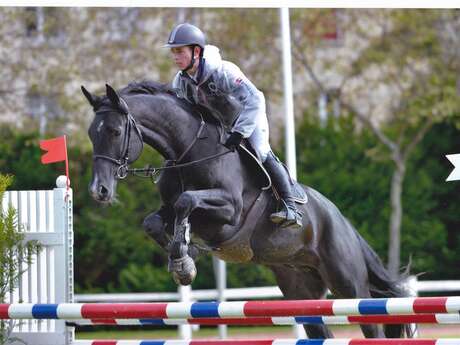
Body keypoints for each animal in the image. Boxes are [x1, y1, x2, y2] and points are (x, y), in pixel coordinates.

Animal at [82, 82, 410, 338]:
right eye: (91, 134)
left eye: (114, 131)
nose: (100, 191)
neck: (187, 151)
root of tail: (343, 221)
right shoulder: (168, 209)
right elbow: (153, 221)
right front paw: (185, 258)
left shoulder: (229, 212)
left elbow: (186, 201)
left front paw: (185, 259)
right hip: (301, 293)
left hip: (348, 284)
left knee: (373, 325)